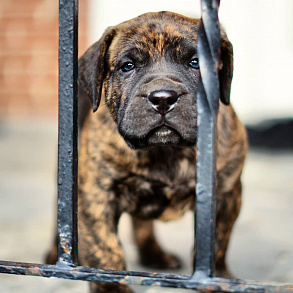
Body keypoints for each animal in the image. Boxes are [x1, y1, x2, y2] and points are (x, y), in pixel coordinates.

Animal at [46, 10, 245, 292]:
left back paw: (154, 255)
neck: (166, 152)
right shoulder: (96, 196)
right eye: (128, 66)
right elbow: (105, 250)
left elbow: (217, 244)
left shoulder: (226, 195)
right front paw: (112, 288)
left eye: (196, 63)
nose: (163, 98)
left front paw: (218, 280)